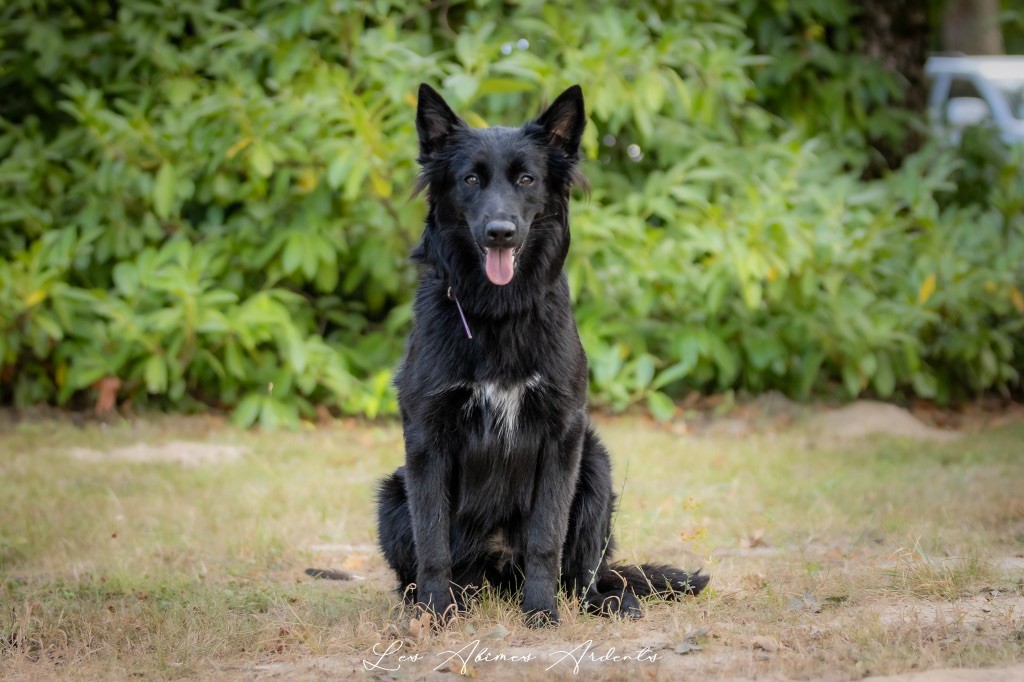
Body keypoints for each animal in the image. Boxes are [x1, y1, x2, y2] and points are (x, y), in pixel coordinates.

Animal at [374, 82, 704, 622]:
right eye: (470, 179)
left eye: (527, 179)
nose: (500, 232)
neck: (497, 312)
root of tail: (493, 572)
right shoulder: (426, 438)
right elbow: (433, 541)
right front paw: (436, 614)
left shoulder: (561, 435)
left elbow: (545, 538)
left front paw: (542, 614)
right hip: (391, 495)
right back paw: (430, 602)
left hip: (595, 469)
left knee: (584, 575)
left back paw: (605, 601)